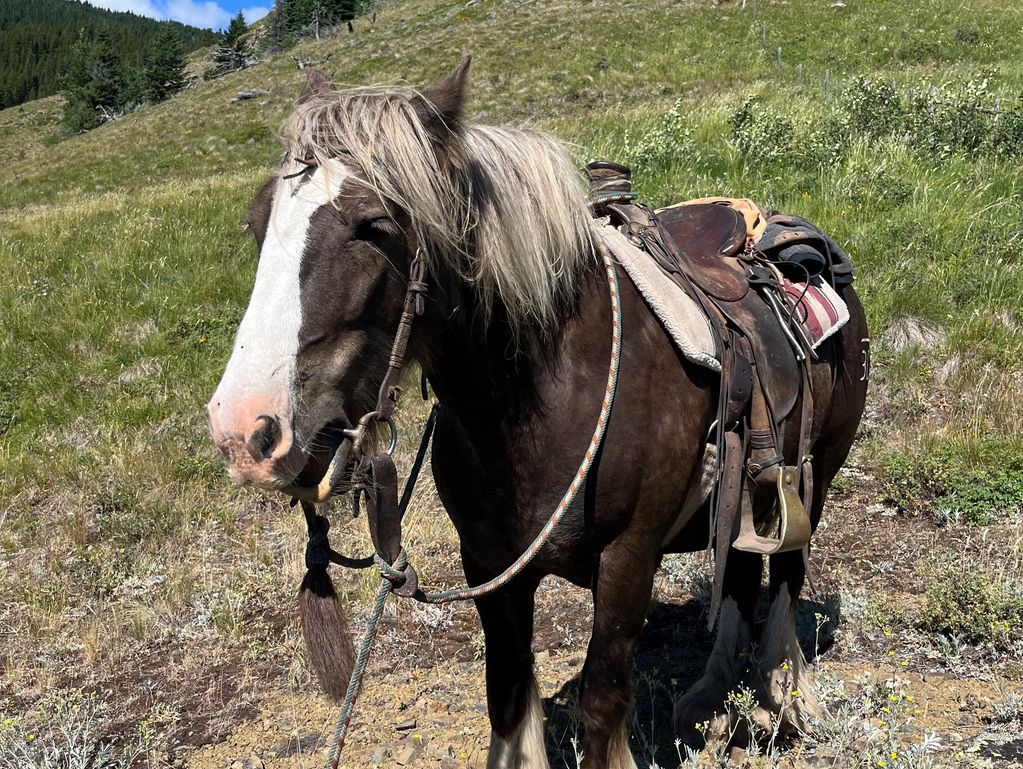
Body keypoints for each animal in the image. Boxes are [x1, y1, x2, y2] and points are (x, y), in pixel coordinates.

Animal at [207, 58, 869, 769]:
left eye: (374, 226)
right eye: (257, 222)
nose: (245, 430)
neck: (542, 403)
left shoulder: (628, 560)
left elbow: (604, 702)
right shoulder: (489, 566)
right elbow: (507, 698)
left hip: (816, 476)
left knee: (787, 577)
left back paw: (783, 698)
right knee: (742, 572)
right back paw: (713, 699)